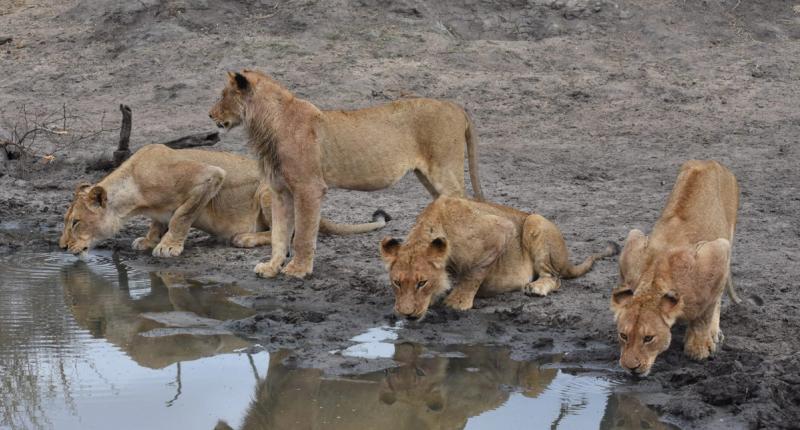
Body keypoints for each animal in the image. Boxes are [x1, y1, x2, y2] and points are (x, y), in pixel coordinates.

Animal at [59, 144, 389, 258]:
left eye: (76, 222)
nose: (61, 247)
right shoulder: (157, 210)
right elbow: (159, 221)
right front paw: (150, 239)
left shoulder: (208, 176)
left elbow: (180, 216)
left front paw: (168, 246)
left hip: (269, 191)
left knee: (289, 232)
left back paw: (245, 237)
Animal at [209, 69, 484, 279]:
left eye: (223, 95)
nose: (210, 115)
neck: (266, 124)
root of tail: (455, 106)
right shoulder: (279, 190)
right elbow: (279, 233)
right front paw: (271, 267)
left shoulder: (309, 188)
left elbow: (303, 234)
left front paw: (298, 270)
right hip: (427, 176)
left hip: (443, 170)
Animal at [379, 196, 619, 321]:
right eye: (397, 283)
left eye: (422, 283)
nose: (406, 314)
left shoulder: (501, 229)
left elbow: (474, 272)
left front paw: (457, 301)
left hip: (534, 221)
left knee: (555, 277)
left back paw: (536, 287)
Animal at [610, 160, 741, 377]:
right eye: (623, 335)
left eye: (648, 338)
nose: (631, 368)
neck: (654, 281)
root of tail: (709, 161)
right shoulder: (632, 243)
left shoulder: (717, 252)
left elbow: (705, 314)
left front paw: (699, 348)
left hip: (727, 236)